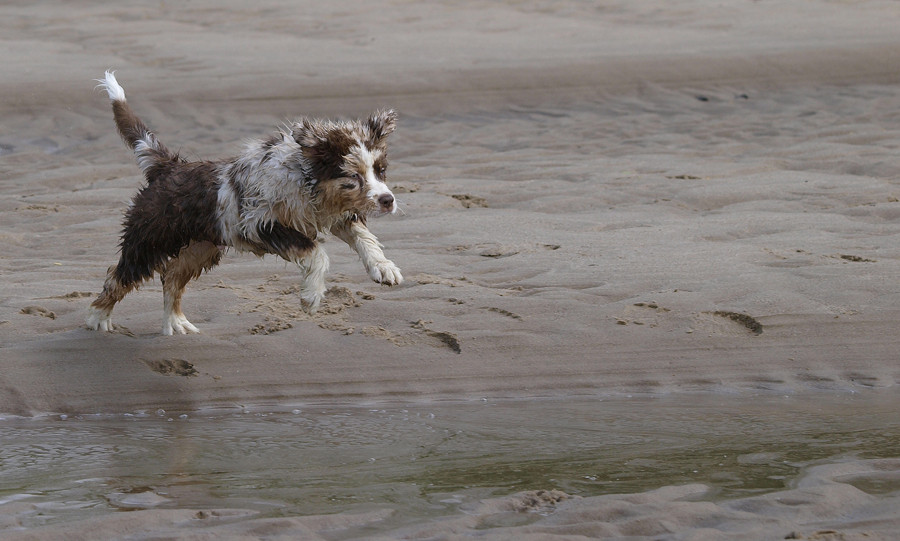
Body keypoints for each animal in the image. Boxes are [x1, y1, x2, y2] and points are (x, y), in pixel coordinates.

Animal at [86, 71, 402, 334]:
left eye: (380, 170)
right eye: (353, 176)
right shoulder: (260, 222)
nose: (388, 201)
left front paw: (384, 267)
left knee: (172, 278)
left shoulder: (335, 213)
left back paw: (176, 322)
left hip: (201, 247)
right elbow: (316, 252)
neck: (305, 181)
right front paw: (311, 297)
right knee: (118, 276)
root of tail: (168, 167)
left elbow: (363, 236)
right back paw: (98, 319)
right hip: (150, 240)